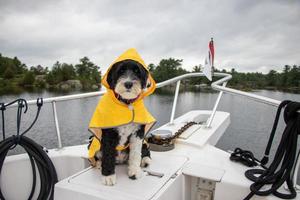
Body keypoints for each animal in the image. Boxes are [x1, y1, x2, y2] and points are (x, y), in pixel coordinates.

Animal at [88, 48, 156, 186]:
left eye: (137, 71)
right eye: (120, 71)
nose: (128, 84)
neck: (126, 104)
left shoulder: (138, 133)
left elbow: (135, 154)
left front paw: (134, 171)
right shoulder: (108, 134)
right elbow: (108, 155)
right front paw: (108, 176)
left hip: (144, 143)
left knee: (145, 150)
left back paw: (145, 160)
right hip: (93, 141)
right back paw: (98, 164)